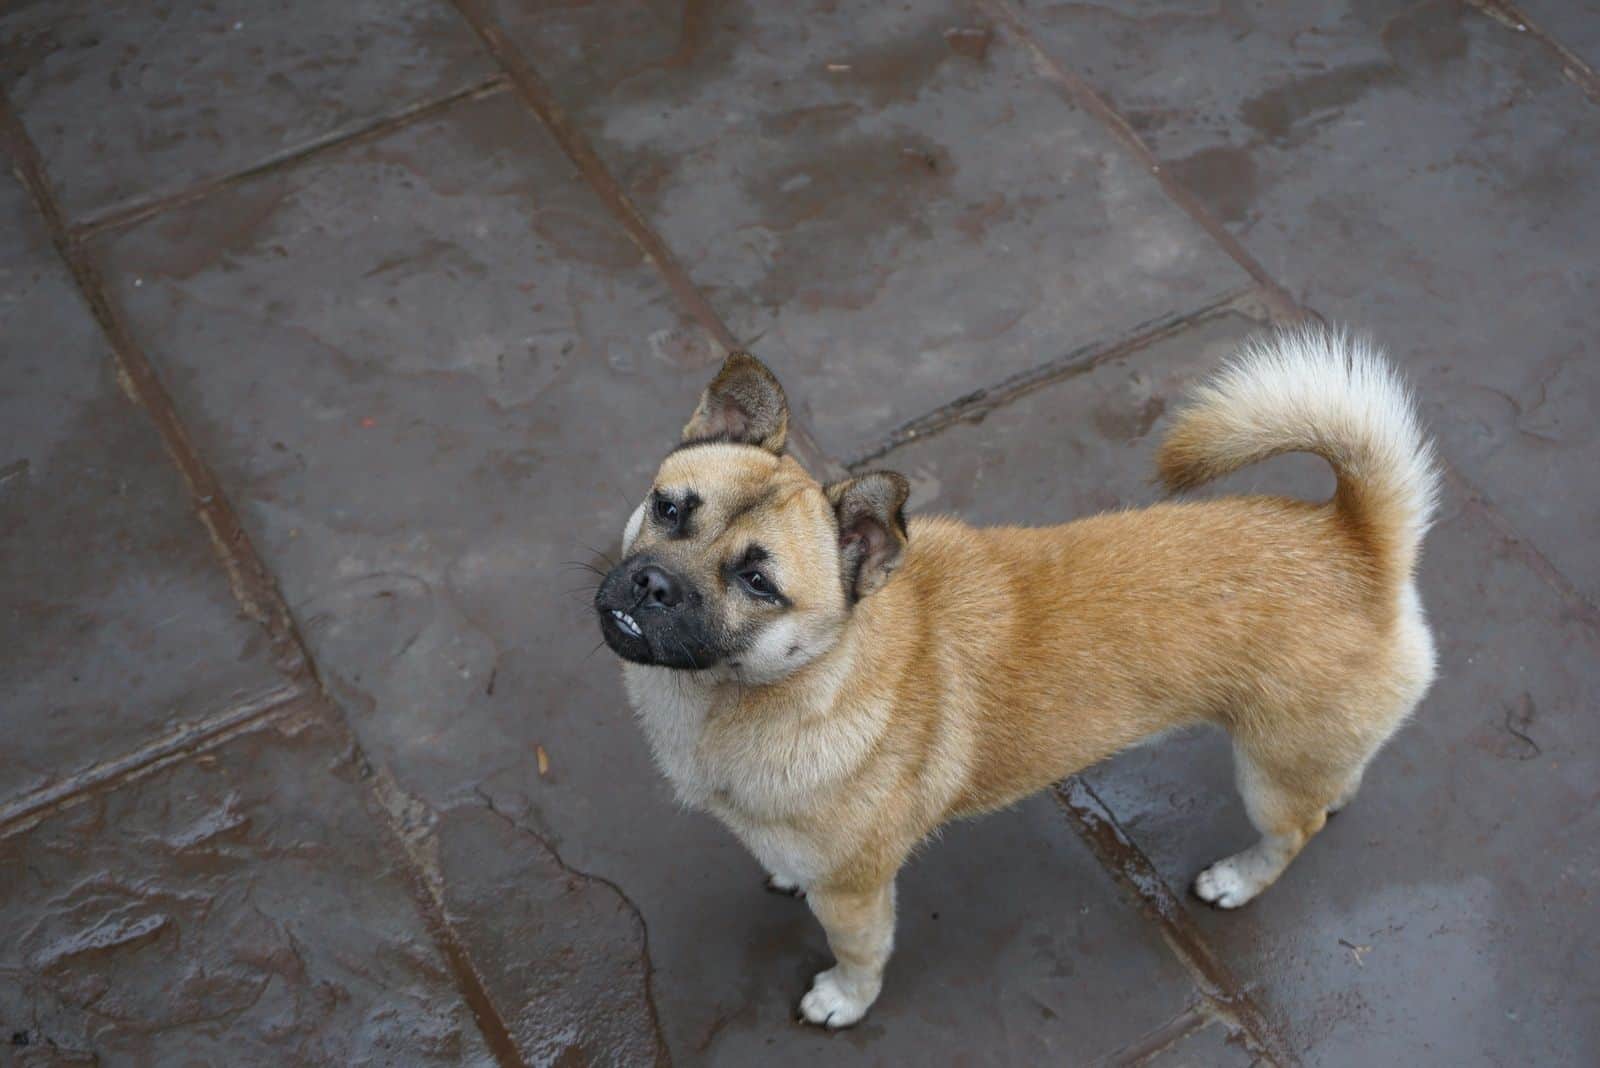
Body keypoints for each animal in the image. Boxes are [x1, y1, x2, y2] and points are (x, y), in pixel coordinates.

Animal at [592, 329, 1440, 1029]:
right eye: (668, 509)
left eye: (758, 584)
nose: (653, 585)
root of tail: (1359, 542)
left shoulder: (855, 893)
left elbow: (861, 954)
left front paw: (844, 1000)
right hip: (1298, 750)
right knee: (1331, 785)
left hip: (1265, 774)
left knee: (1289, 834)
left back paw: (1240, 876)